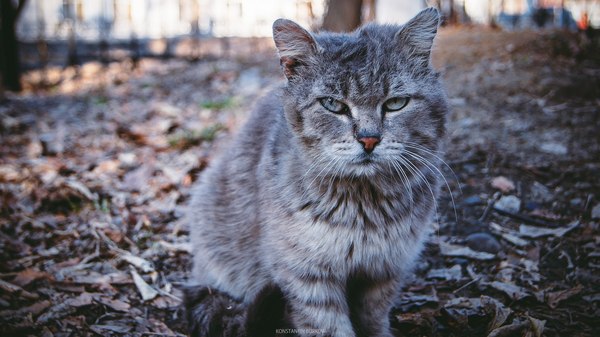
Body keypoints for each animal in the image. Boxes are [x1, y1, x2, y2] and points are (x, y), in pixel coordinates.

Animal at [185, 7, 448, 336]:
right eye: (333, 104)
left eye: (396, 103)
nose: (369, 139)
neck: (365, 206)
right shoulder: (307, 274)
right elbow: (329, 326)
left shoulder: (385, 269)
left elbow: (373, 318)